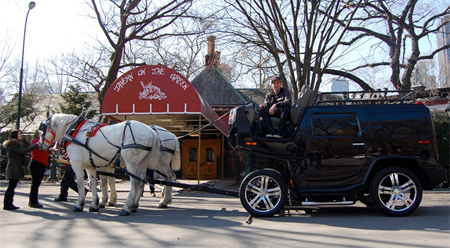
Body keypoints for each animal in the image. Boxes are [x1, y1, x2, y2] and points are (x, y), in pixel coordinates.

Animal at [38, 114, 177, 215]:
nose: (40, 146)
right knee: (144, 181)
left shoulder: (77, 164)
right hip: (143, 163)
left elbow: (83, 183)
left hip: (140, 162)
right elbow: (97, 182)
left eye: (42, 128)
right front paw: (97, 203)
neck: (75, 131)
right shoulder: (93, 165)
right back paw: (136, 205)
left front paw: (80, 204)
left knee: (139, 182)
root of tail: (152, 132)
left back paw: (129, 207)